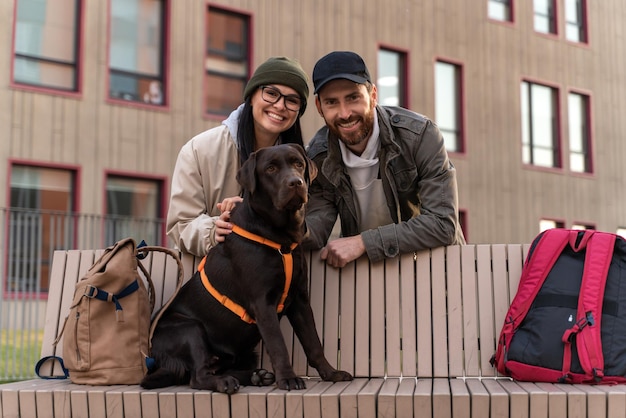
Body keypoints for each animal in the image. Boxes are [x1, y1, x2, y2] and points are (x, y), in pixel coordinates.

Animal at [141, 144, 352, 392]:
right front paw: (288, 379)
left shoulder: (300, 299)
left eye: (298, 163)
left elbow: (313, 342)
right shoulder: (262, 303)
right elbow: (278, 344)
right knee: (198, 376)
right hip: (189, 329)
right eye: (270, 169)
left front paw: (331, 373)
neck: (280, 238)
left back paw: (256, 376)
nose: (296, 182)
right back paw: (225, 382)